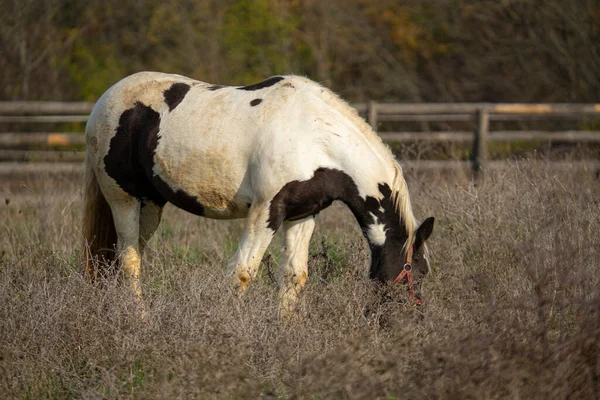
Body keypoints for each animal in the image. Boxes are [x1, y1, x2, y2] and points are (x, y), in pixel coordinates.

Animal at [82, 72, 434, 314]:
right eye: (418, 272)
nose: (411, 320)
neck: (315, 136)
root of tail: (104, 101)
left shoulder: (303, 213)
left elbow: (294, 276)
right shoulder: (266, 210)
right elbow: (241, 274)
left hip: (152, 204)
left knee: (125, 258)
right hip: (123, 199)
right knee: (128, 260)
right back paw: (138, 320)